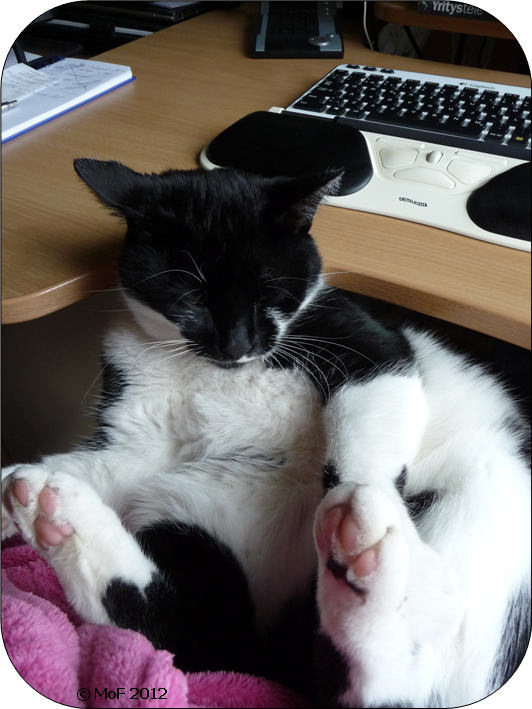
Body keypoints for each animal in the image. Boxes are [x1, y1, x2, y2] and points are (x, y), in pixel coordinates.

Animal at [2, 159, 530, 708]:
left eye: (269, 292)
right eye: (190, 297)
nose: (236, 344)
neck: (213, 372)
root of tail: (275, 659)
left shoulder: (368, 346)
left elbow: (365, 457)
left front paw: (404, 558)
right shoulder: (138, 440)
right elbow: (102, 463)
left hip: (483, 492)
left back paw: (363, 555)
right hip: (199, 527)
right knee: (195, 631)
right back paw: (50, 512)